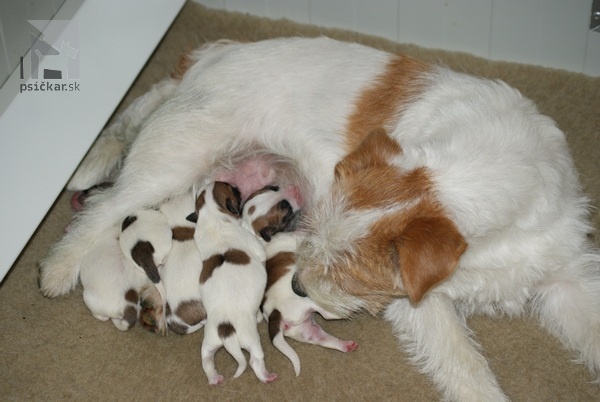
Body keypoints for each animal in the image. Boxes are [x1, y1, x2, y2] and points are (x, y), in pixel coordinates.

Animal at [191, 181, 278, 384]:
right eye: (233, 188)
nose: (238, 187)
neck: (214, 216)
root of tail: (226, 328)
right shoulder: (257, 247)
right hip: (251, 339)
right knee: (255, 361)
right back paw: (267, 376)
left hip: (209, 341)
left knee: (206, 361)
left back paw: (214, 378)